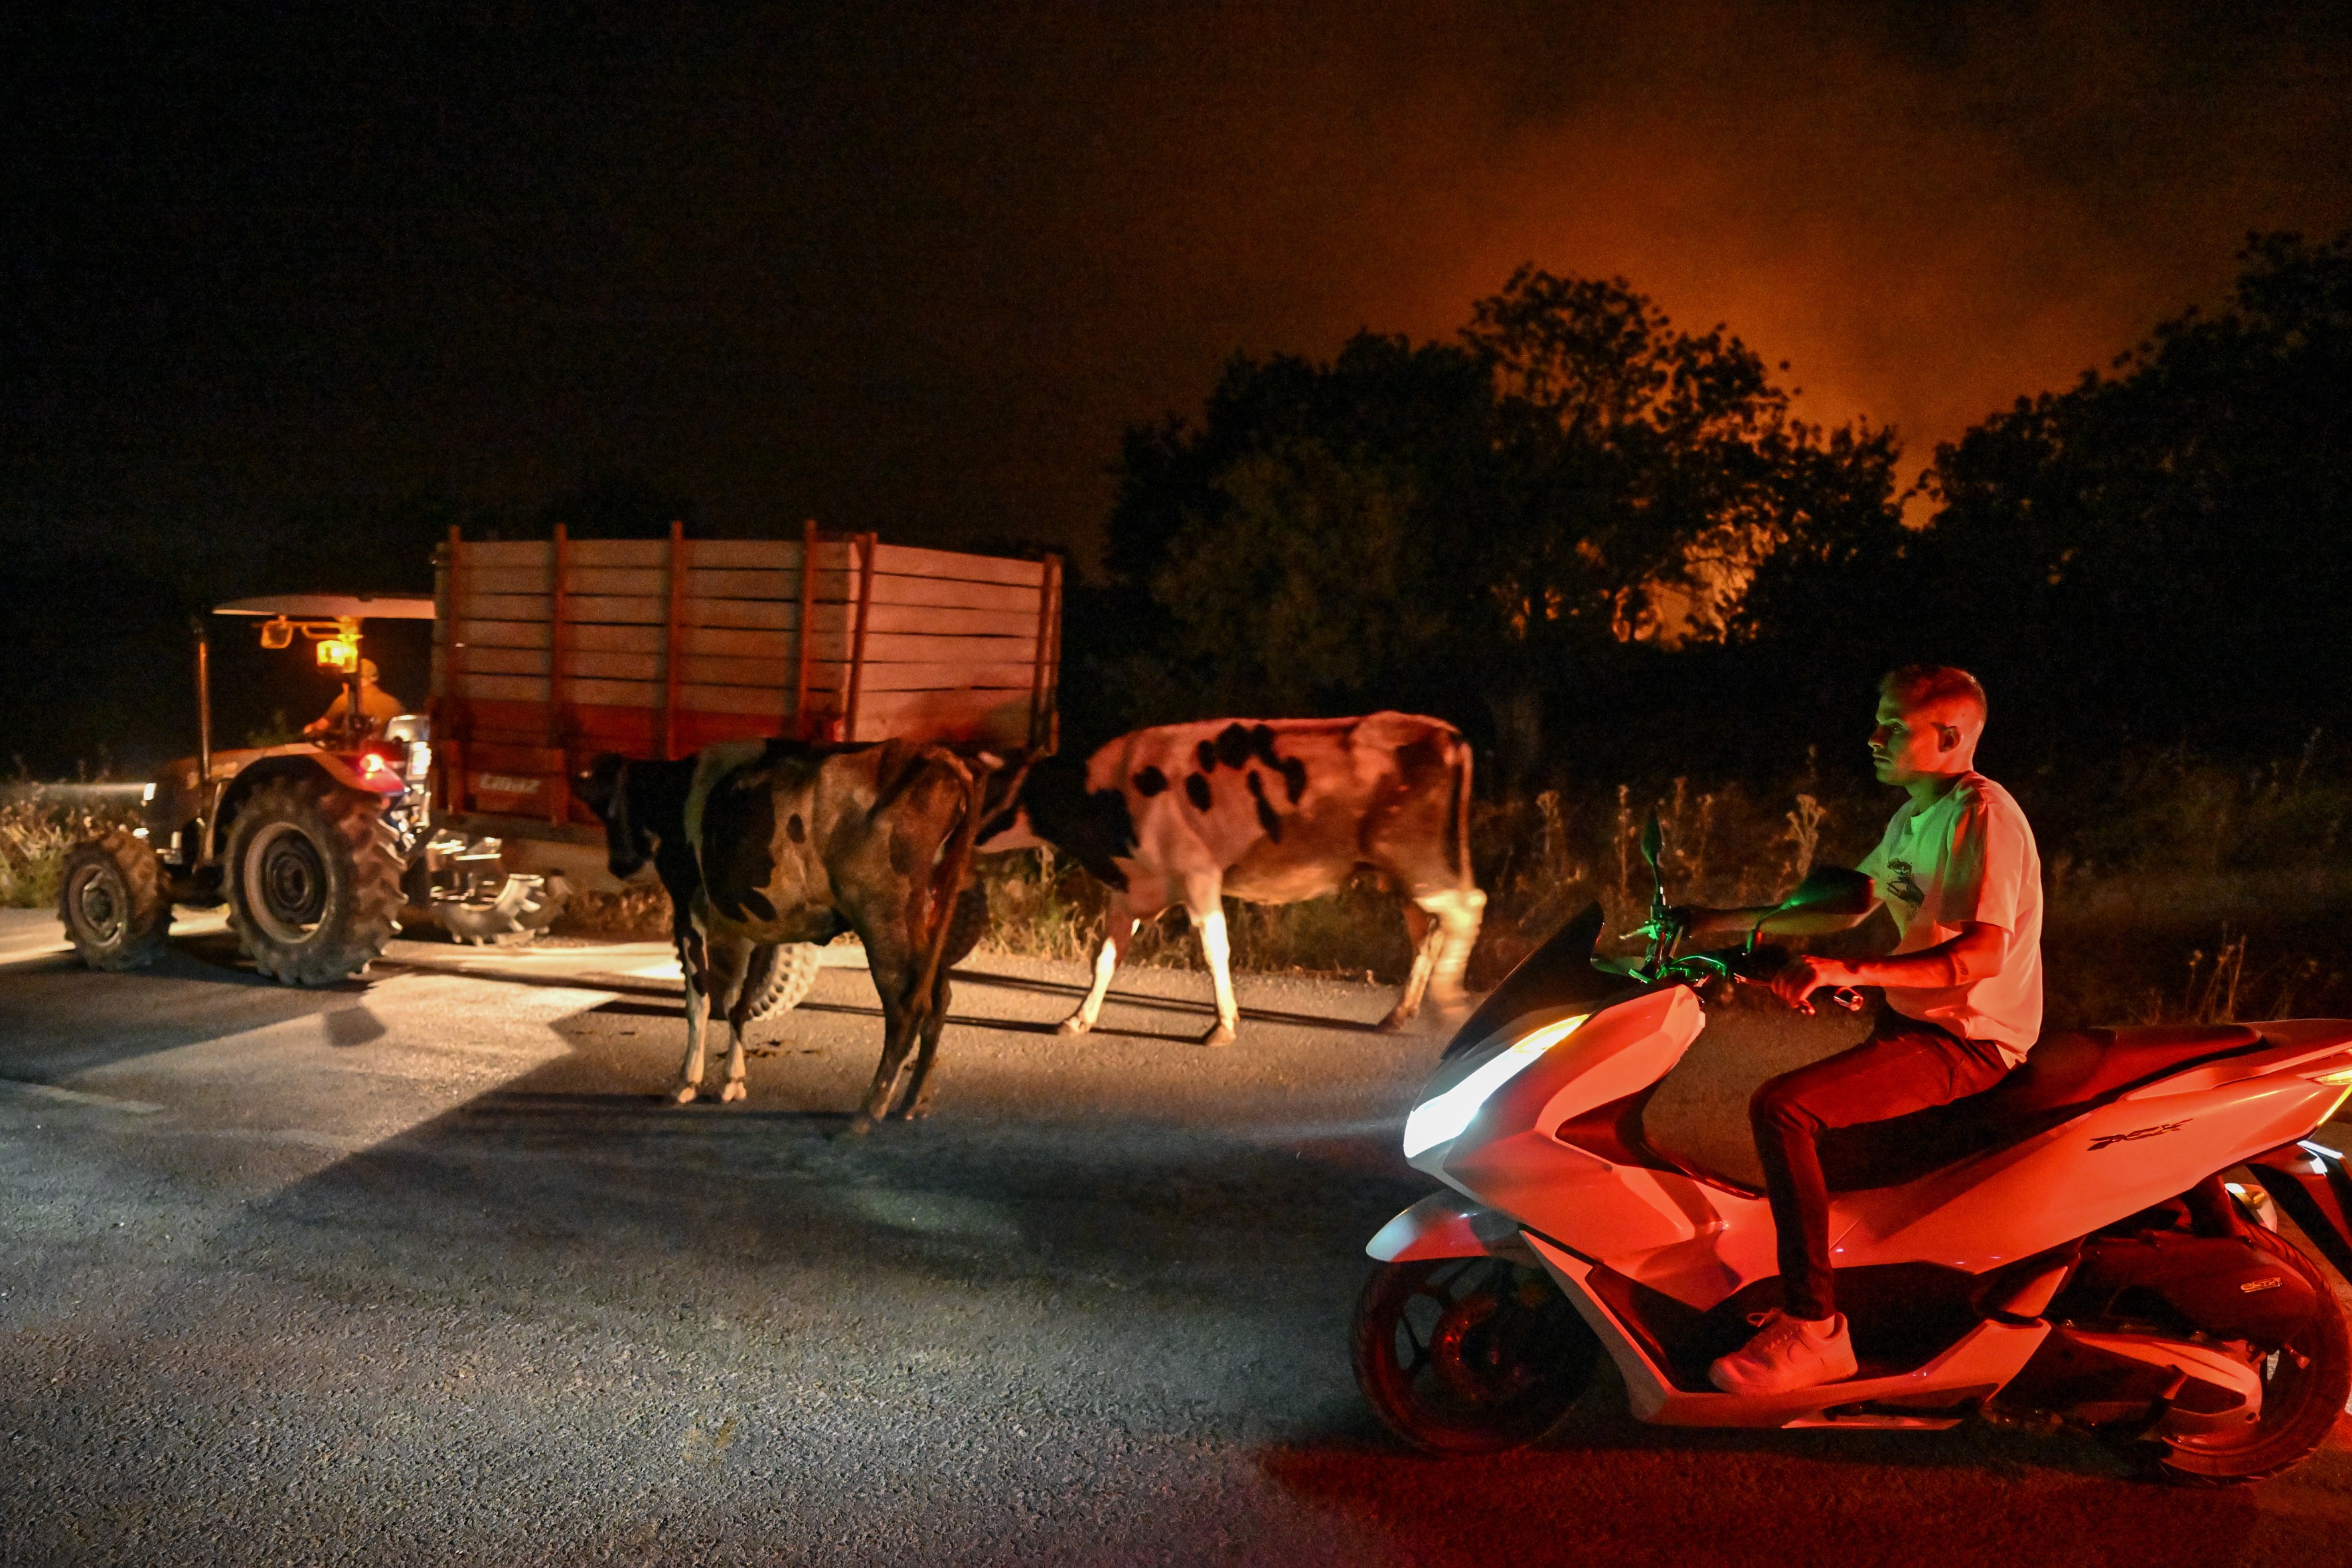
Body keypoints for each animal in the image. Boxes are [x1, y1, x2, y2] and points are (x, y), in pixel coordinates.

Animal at [574, 738, 1016, 1128]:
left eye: (607, 809)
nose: (619, 866)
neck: (676, 789)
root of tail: (935, 756)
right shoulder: (750, 923)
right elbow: (737, 1003)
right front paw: (733, 1081)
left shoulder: (687, 908)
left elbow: (699, 1001)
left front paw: (686, 1083)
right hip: (930, 922)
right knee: (939, 1001)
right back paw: (910, 1103)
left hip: (884, 919)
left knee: (908, 1007)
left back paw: (868, 1113)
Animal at [982, 719, 1477, 1048]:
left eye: (998, 788)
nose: (971, 833)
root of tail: (1447, 733)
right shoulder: (1131, 889)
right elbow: (1104, 959)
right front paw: (1077, 1019)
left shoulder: (1200, 874)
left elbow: (1214, 950)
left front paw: (1222, 1025)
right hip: (1403, 875)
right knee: (1429, 933)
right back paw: (1400, 1014)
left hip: (1418, 860)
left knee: (1468, 908)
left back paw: (1451, 1008)